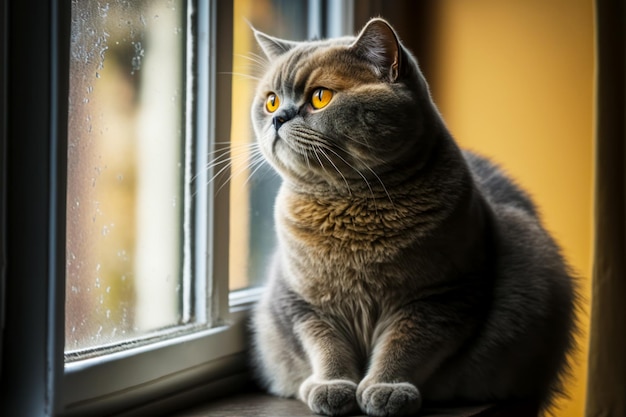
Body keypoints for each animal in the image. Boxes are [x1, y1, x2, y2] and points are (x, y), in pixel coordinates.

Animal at [247, 17, 576, 416]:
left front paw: (386, 389)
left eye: (320, 97)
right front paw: (332, 386)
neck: (351, 209)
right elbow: (326, 347)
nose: (278, 117)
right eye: (271, 101)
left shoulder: (440, 299)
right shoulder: (303, 303)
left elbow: (404, 347)